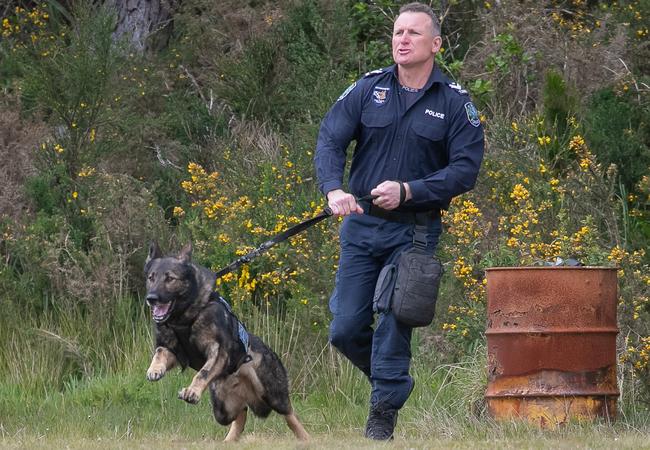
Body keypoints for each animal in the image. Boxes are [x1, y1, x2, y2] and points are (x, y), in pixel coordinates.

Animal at [142, 241, 308, 442]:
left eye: (170, 279)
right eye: (151, 278)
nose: (151, 298)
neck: (186, 317)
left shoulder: (217, 350)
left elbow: (203, 373)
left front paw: (193, 391)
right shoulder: (174, 351)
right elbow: (160, 352)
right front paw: (155, 369)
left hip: (272, 393)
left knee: (289, 413)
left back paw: (304, 437)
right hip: (222, 410)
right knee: (241, 413)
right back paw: (229, 440)